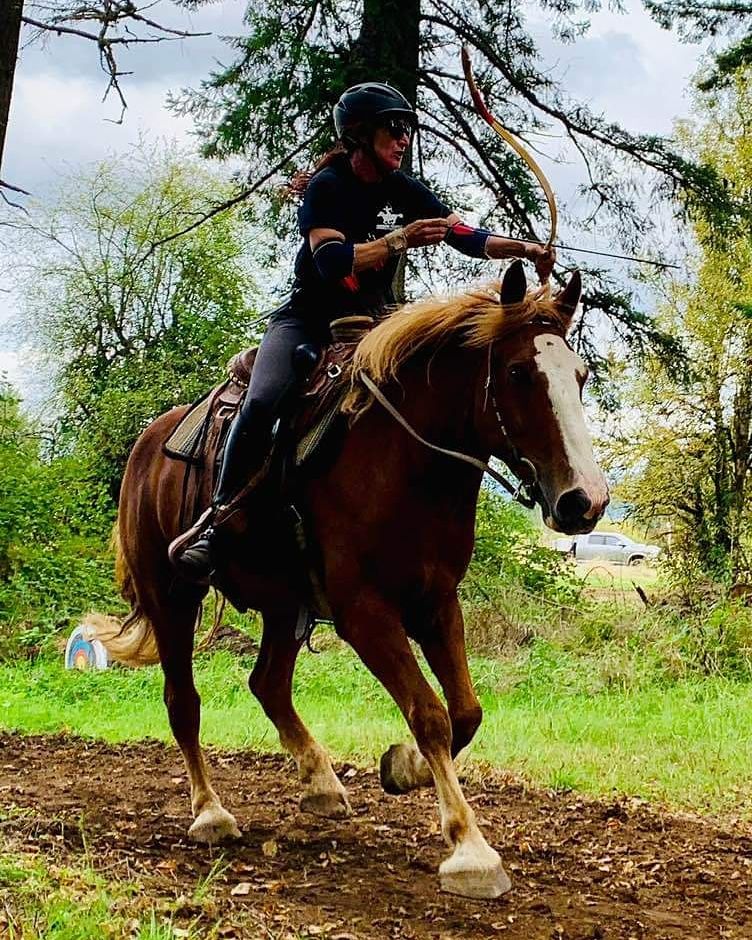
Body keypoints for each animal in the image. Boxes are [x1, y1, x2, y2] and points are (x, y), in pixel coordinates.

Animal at [89, 260, 604, 900]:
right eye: (517, 372)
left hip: (285, 606)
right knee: (183, 701)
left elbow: (464, 712)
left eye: (579, 375)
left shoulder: (437, 602)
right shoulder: (366, 614)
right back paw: (210, 813)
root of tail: (147, 446)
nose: (585, 501)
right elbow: (430, 714)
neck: (404, 460)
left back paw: (321, 783)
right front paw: (471, 851)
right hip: (172, 594)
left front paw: (403, 768)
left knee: (267, 684)